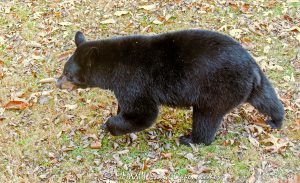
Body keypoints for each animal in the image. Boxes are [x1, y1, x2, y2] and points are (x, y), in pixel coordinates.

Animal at [55, 30, 284, 147]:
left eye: (68, 74)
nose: (57, 82)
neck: (112, 67)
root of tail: (251, 69)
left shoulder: (134, 81)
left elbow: (143, 113)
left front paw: (111, 125)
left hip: (217, 89)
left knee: (206, 118)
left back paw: (191, 139)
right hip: (253, 83)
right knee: (267, 98)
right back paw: (276, 120)